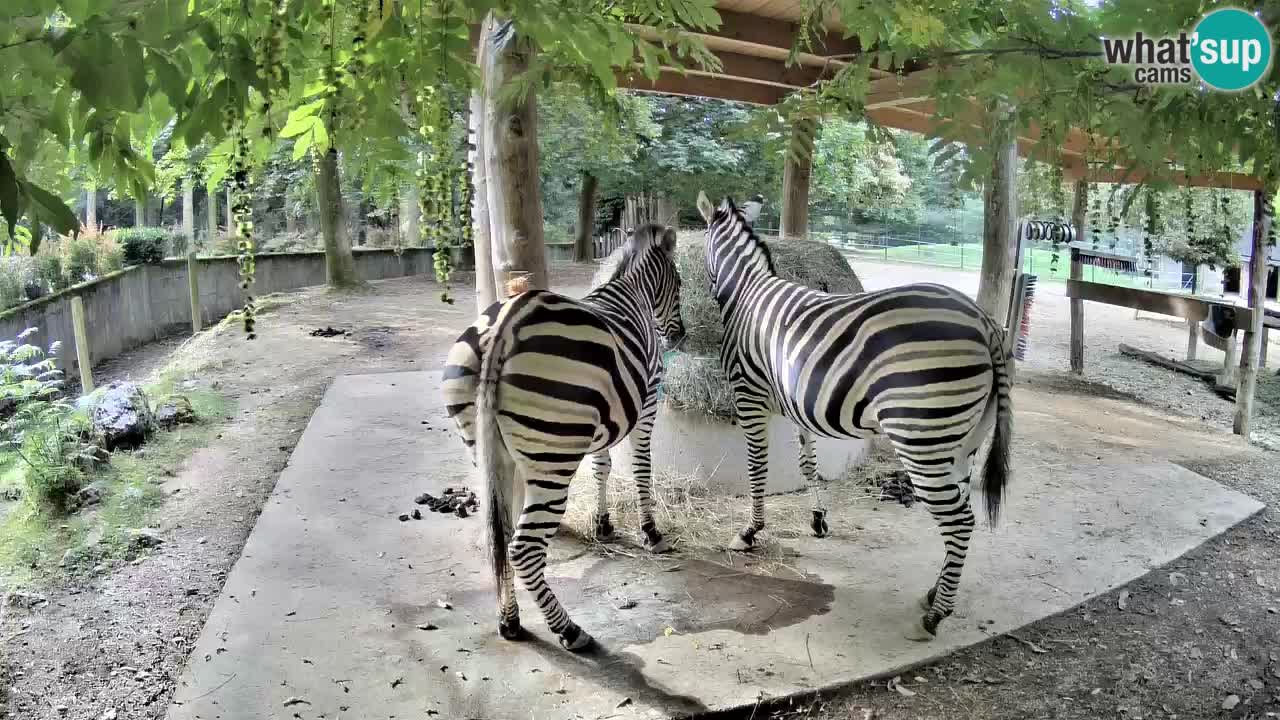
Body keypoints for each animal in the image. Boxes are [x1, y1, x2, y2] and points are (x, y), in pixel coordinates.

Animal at [440, 221, 686, 648]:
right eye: (680, 282)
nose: (681, 336)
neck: (633, 293)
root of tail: (505, 324)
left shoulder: (604, 418)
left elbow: (603, 467)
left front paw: (603, 525)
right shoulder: (647, 404)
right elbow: (641, 468)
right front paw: (651, 533)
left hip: (490, 449)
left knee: (501, 535)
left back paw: (510, 621)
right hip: (552, 457)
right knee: (523, 548)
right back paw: (568, 630)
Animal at [696, 190, 1013, 638]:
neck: (746, 291)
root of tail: (984, 322)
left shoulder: (748, 393)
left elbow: (758, 466)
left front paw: (750, 532)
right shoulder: (794, 403)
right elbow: (807, 465)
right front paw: (818, 520)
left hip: (922, 437)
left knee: (960, 521)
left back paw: (936, 614)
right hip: (962, 441)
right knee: (961, 513)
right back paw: (936, 593)